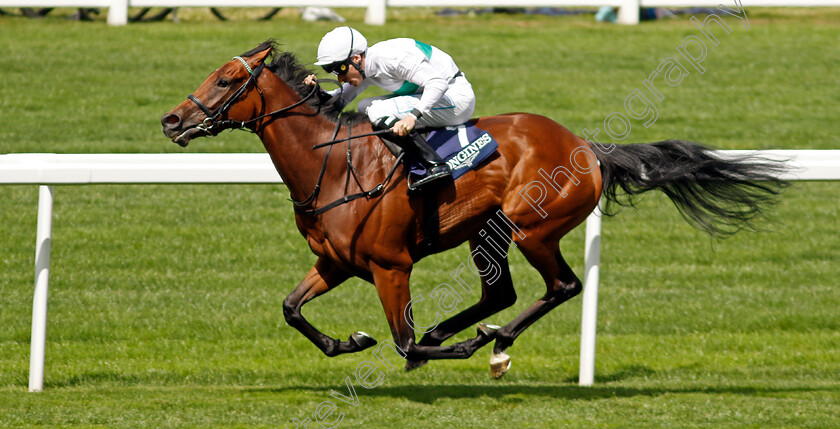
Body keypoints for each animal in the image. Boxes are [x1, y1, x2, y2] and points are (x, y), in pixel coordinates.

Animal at [159, 41, 788, 376]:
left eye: (226, 80)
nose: (171, 119)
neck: (333, 165)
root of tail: (588, 148)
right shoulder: (336, 262)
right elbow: (291, 309)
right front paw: (349, 342)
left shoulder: (391, 266)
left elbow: (404, 340)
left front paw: (449, 348)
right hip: (487, 231)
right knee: (500, 292)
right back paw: (468, 331)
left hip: (533, 228)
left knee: (560, 287)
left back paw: (495, 344)